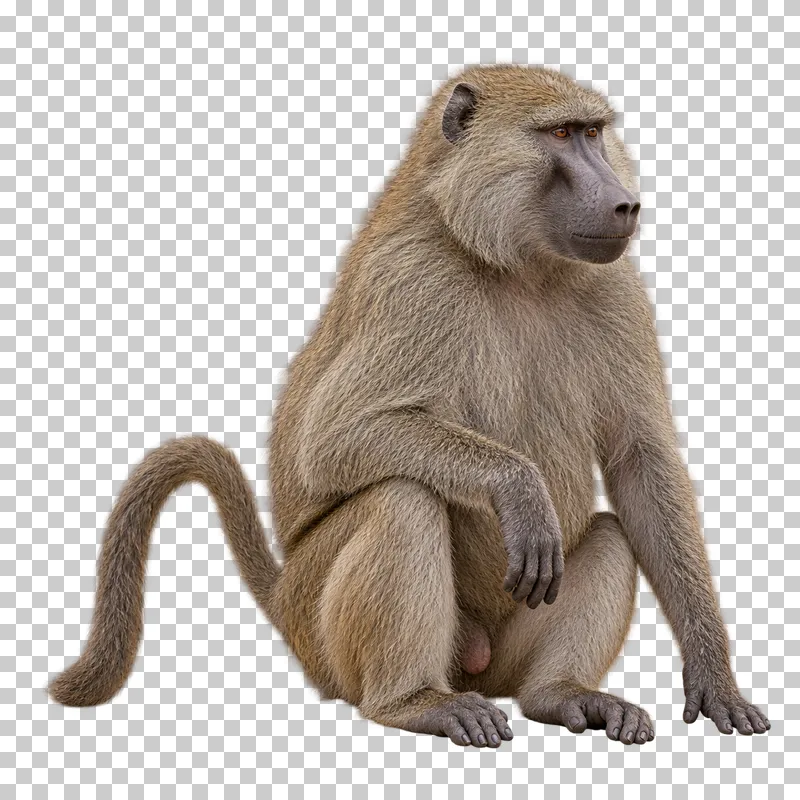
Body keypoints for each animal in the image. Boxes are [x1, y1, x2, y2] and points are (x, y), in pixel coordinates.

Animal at [49, 64, 770, 748]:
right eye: (562, 134)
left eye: (594, 133)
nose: (625, 204)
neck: (513, 261)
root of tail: (283, 597)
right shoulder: (414, 280)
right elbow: (335, 440)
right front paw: (518, 487)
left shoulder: (616, 286)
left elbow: (640, 464)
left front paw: (715, 678)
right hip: (325, 635)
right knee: (401, 498)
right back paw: (414, 703)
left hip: (503, 650)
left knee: (612, 538)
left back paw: (559, 694)